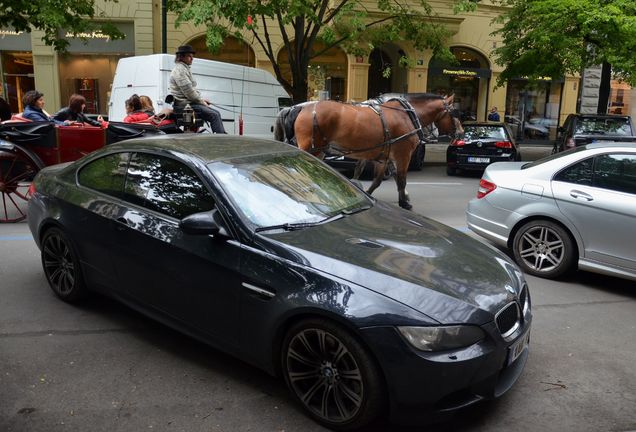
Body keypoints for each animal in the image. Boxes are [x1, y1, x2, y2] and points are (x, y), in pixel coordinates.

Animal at [276, 93, 464, 209]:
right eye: (454, 113)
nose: (461, 133)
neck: (406, 114)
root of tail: (300, 107)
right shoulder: (403, 155)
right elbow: (401, 179)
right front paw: (404, 202)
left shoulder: (384, 156)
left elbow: (379, 180)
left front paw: (367, 194)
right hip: (310, 148)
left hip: (319, 150)